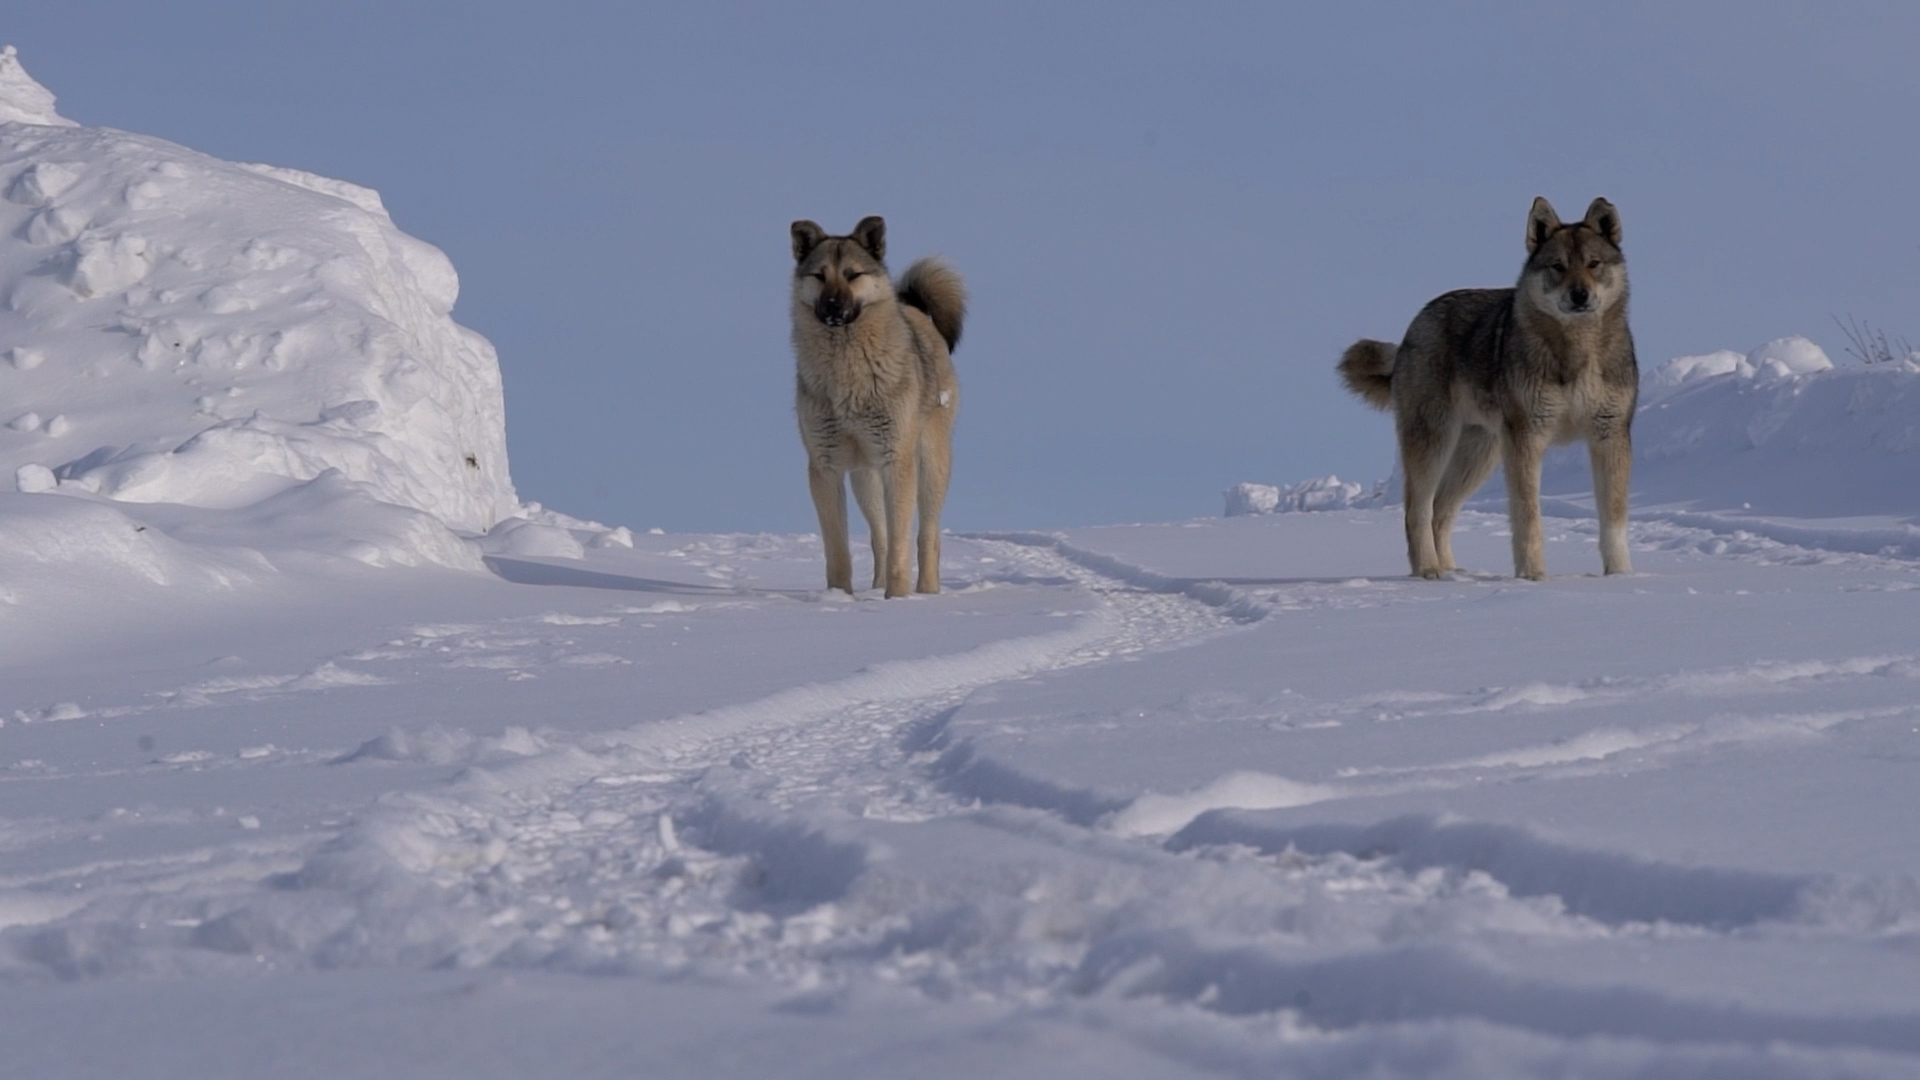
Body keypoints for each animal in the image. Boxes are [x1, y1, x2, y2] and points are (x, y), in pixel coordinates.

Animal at [783, 213, 960, 591]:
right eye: (819, 276)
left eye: (852, 274)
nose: (833, 306)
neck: (847, 374)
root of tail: (915, 310)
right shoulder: (825, 468)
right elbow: (839, 552)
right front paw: (839, 597)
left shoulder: (897, 461)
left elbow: (901, 547)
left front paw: (897, 598)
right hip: (865, 478)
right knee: (879, 536)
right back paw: (876, 586)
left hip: (931, 465)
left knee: (927, 537)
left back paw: (927, 592)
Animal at [1351, 196, 1635, 576]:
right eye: (1558, 266)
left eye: (1594, 263)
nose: (1580, 295)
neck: (1576, 351)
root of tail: (1413, 326)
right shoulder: (1526, 440)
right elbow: (1528, 518)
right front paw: (1532, 577)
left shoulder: (1610, 437)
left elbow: (1613, 522)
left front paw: (1621, 577)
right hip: (1436, 443)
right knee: (1417, 510)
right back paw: (1428, 570)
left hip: (1480, 454)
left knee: (1441, 510)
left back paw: (1453, 572)